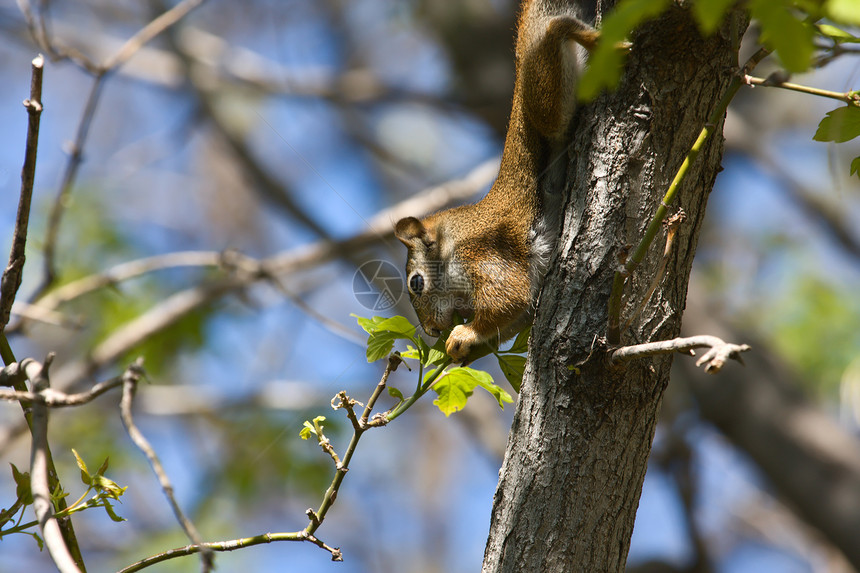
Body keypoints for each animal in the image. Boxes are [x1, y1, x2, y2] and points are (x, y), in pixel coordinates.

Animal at [394, 1, 596, 362]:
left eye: (416, 283)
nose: (431, 330)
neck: (452, 240)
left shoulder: (485, 253)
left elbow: (508, 298)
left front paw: (464, 334)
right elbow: (516, 316)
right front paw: (464, 346)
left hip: (544, 100)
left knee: (556, 32)